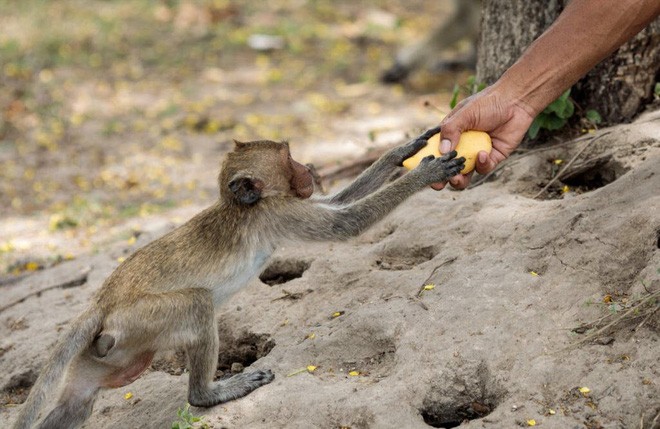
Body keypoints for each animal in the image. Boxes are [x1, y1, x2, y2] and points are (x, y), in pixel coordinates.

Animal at [11, 127, 464, 428]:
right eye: (288, 159)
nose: (310, 168)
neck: (246, 205)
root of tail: (102, 300)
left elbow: (339, 201)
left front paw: (399, 151)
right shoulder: (277, 212)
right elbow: (347, 222)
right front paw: (422, 174)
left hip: (102, 357)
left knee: (75, 406)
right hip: (139, 320)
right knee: (196, 304)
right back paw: (208, 394)